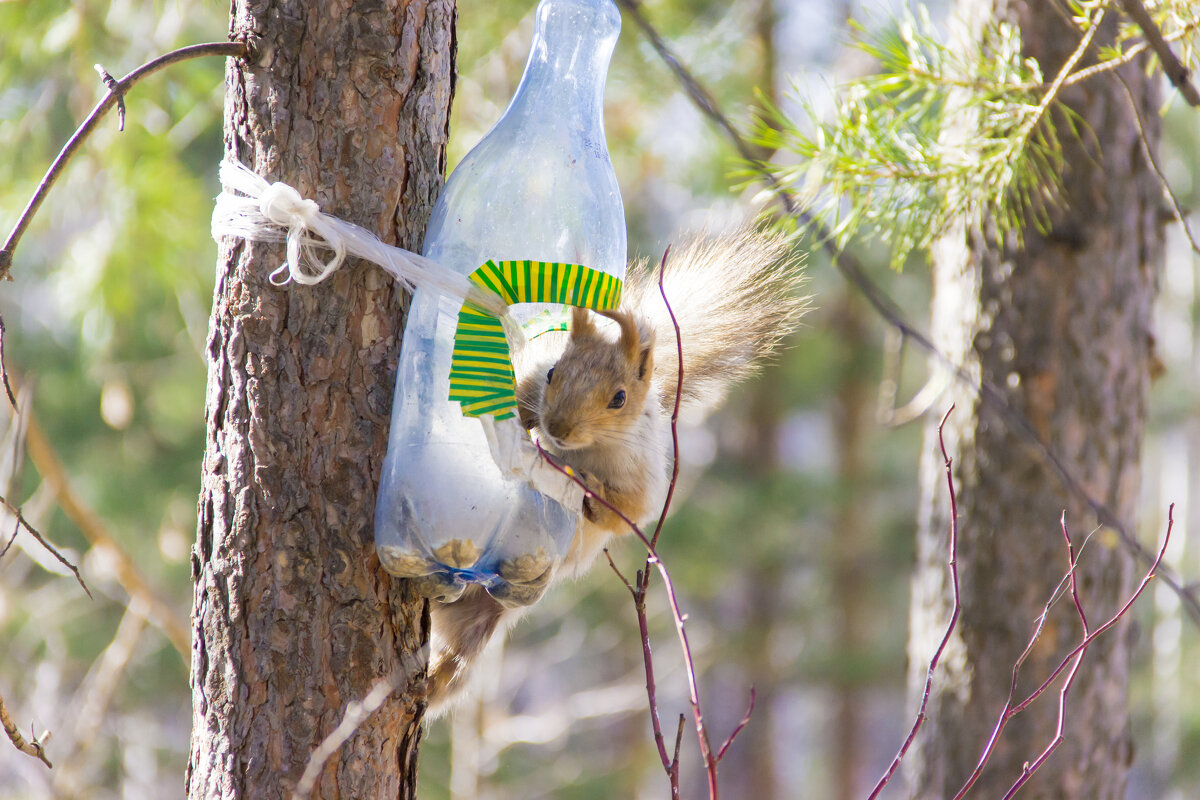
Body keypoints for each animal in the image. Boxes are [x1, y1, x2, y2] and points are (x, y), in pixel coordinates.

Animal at [427, 227, 811, 710]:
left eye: (619, 398)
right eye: (552, 373)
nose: (557, 428)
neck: (582, 452)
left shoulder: (641, 478)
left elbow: (624, 513)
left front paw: (590, 490)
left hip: (485, 610)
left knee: (458, 652)